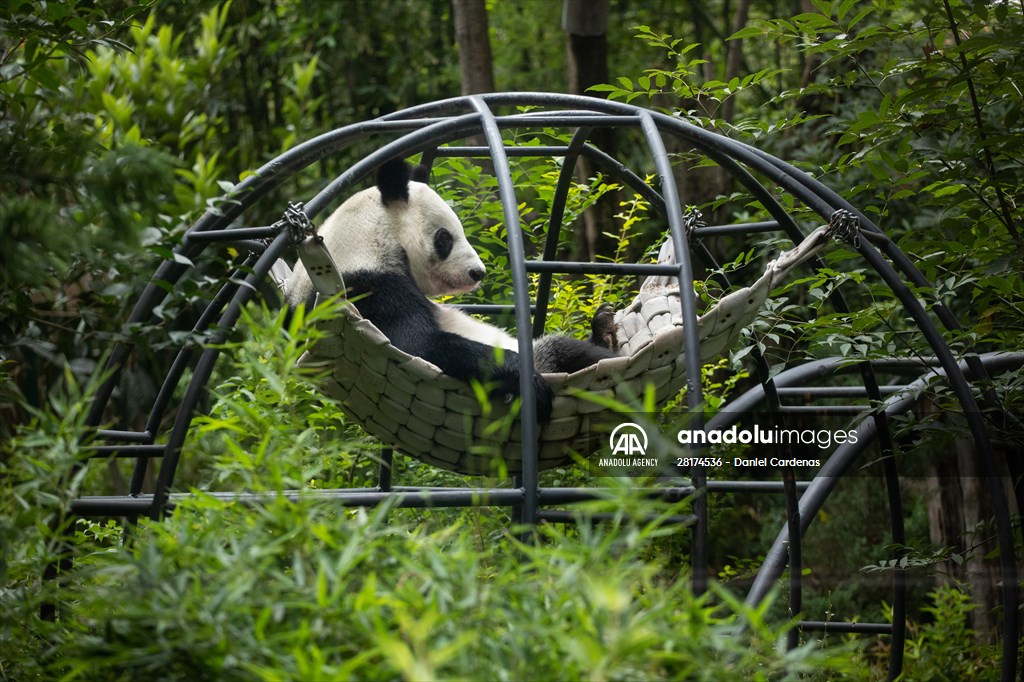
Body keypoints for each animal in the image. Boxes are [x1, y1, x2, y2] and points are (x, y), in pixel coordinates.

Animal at [280, 159, 618, 419]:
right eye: (445, 238)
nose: (477, 272)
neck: (368, 236)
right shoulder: (366, 287)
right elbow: (421, 345)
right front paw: (529, 384)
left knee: (571, 350)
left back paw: (604, 332)